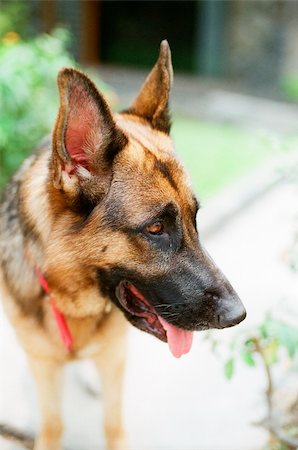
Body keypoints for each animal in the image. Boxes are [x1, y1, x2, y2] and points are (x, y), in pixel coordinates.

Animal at [0, 42, 246, 450]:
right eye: (156, 228)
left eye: (195, 218)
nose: (238, 315)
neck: (72, 295)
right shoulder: (44, 366)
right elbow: (52, 426)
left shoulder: (113, 359)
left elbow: (114, 427)